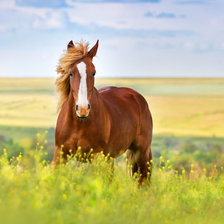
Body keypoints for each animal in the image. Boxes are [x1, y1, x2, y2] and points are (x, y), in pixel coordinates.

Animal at [53, 40, 153, 184]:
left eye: (93, 72)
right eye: (71, 73)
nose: (83, 109)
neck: (79, 123)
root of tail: (137, 97)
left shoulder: (96, 157)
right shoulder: (60, 154)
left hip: (141, 152)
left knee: (143, 181)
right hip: (111, 158)